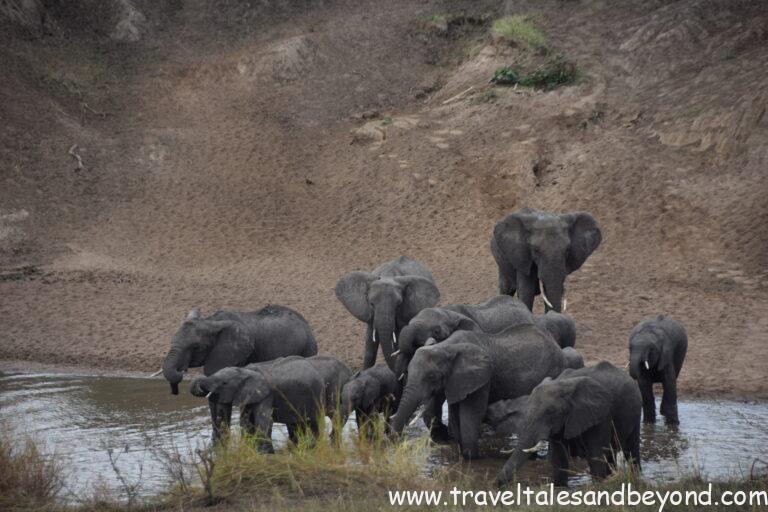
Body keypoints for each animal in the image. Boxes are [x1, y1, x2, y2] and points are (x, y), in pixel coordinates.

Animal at [190, 355, 350, 447]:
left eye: (224, 383)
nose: (202, 389)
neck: (246, 370)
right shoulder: (250, 395)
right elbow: (246, 423)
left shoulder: (266, 395)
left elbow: (264, 421)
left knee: (329, 419)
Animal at [390, 324, 566, 460]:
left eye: (431, 376)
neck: (446, 346)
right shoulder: (457, 381)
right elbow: (456, 415)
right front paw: (463, 455)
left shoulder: (481, 378)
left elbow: (471, 414)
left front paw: (471, 458)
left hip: (554, 370)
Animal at [496, 362, 642, 487]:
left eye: (550, 412)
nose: (497, 484)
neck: (564, 385)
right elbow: (559, 459)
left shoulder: (600, 416)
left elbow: (596, 457)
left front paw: (599, 487)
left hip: (635, 410)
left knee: (631, 451)